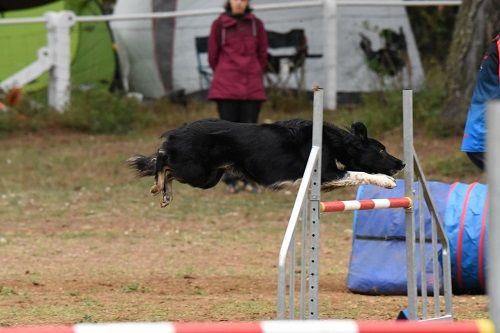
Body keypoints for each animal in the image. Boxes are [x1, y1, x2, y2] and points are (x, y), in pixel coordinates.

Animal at [127, 118, 404, 206]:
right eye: (381, 150)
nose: (401, 164)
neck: (334, 141)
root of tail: (178, 131)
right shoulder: (326, 174)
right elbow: (359, 174)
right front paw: (386, 181)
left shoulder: (324, 182)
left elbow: (354, 174)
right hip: (196, 171)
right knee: (163, 160)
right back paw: (159, 186)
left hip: (209, 176)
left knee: (167, 167)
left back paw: (165, 192)